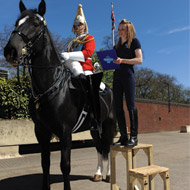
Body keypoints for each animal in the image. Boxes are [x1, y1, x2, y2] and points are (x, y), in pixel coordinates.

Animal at [3, 0, 116, 189]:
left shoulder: (65, 132)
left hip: (108, 124)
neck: (50, 85)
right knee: (100, 148)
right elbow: (45, 163)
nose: (10, 51)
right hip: (94, 128)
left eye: (36, 24)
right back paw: (98, 174)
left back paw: (108, 175)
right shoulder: (41, 131)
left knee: (108, 147)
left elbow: (65, 165)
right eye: (16, 23)